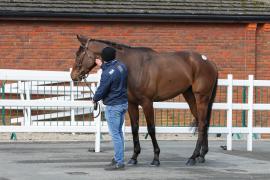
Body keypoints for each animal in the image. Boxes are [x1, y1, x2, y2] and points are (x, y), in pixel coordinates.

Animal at [70, 34, 218, 167]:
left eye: (79, 54)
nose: (73, 76)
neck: (133, 66)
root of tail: (209, 62)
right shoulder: (132, 104)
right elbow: (135, 128)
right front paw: (134, 157)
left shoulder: (147, 103)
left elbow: (151, 128)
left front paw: (156, 158)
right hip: (190, 96)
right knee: (202, 122)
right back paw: (201, 155)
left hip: (201, 98)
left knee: (202, 124)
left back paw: (193, 157)